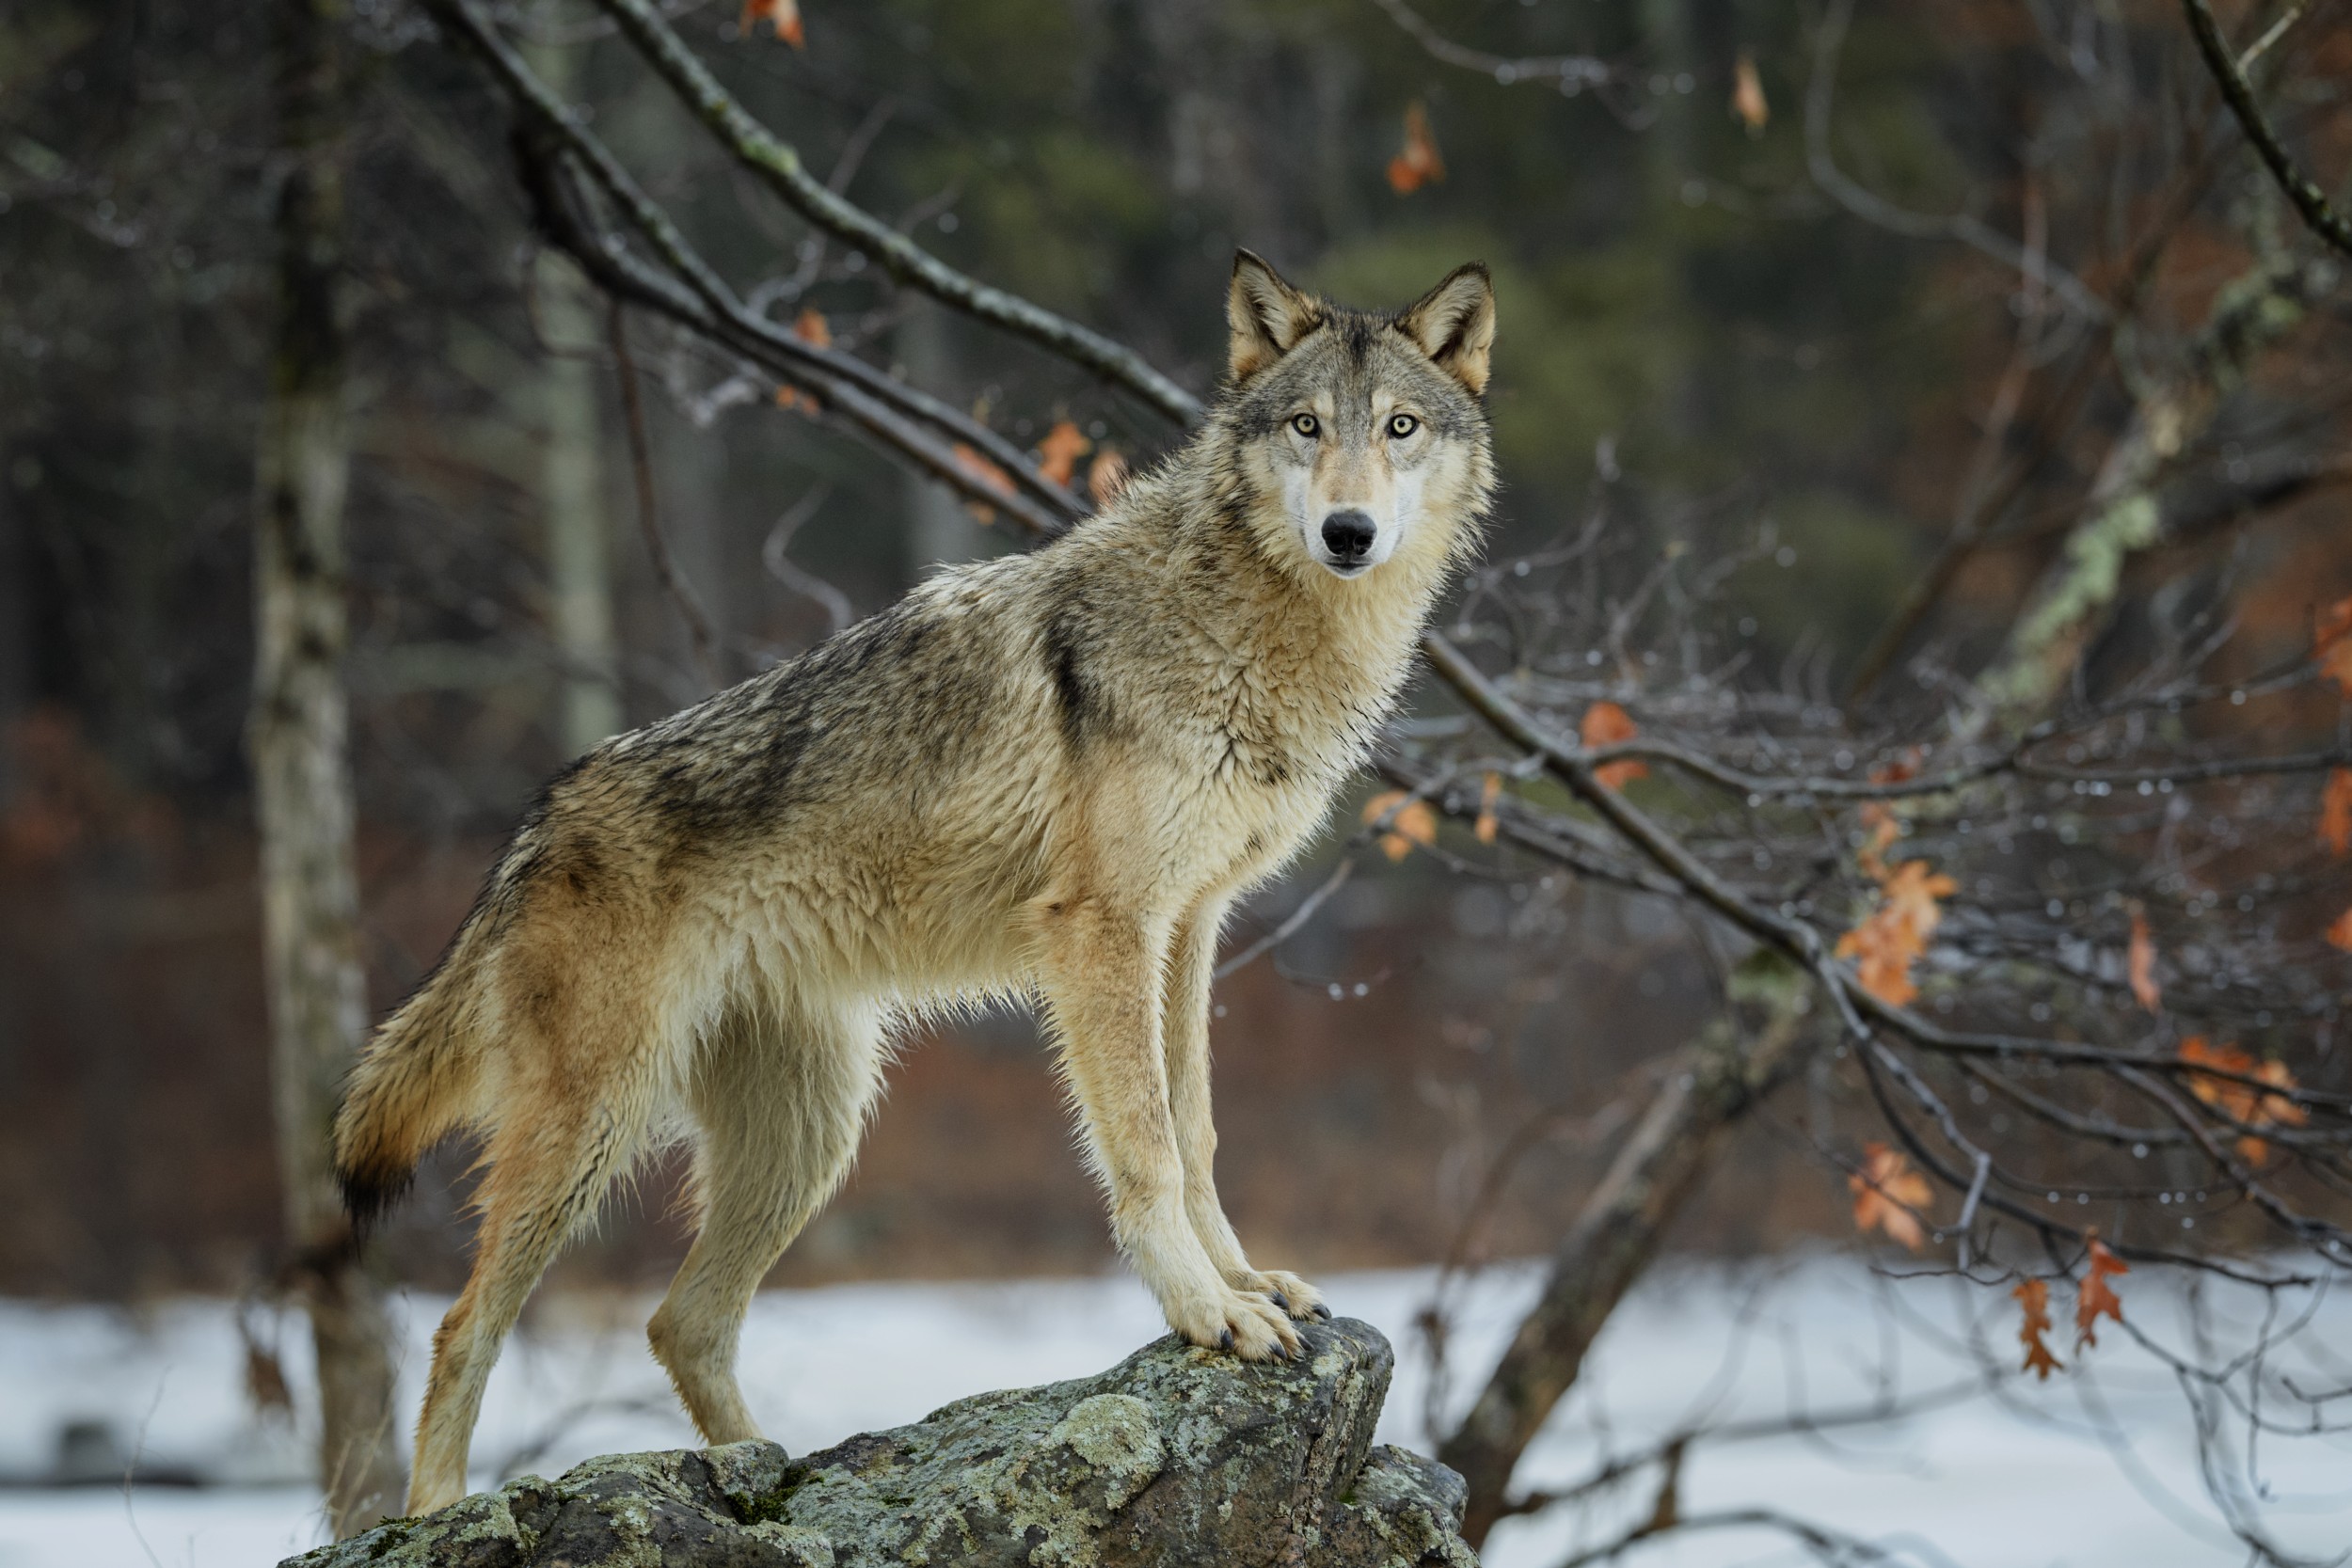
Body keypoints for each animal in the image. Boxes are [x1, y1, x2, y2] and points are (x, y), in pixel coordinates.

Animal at [336, 251, 1486, 1513]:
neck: (1248, 622)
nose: (1348, 530)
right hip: (595, 1129)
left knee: (680, 1320)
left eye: (1398, 427)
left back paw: (761, 1475)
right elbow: (1145, 1145)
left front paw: (1241, 1281)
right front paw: (1203, 1311)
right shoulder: (1102, 927)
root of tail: (533, 821)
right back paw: (440, 1507)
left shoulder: (1188, 926)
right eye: (1304, 425)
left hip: (812, 1134)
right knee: (460, 1324)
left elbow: (1197, 1131)